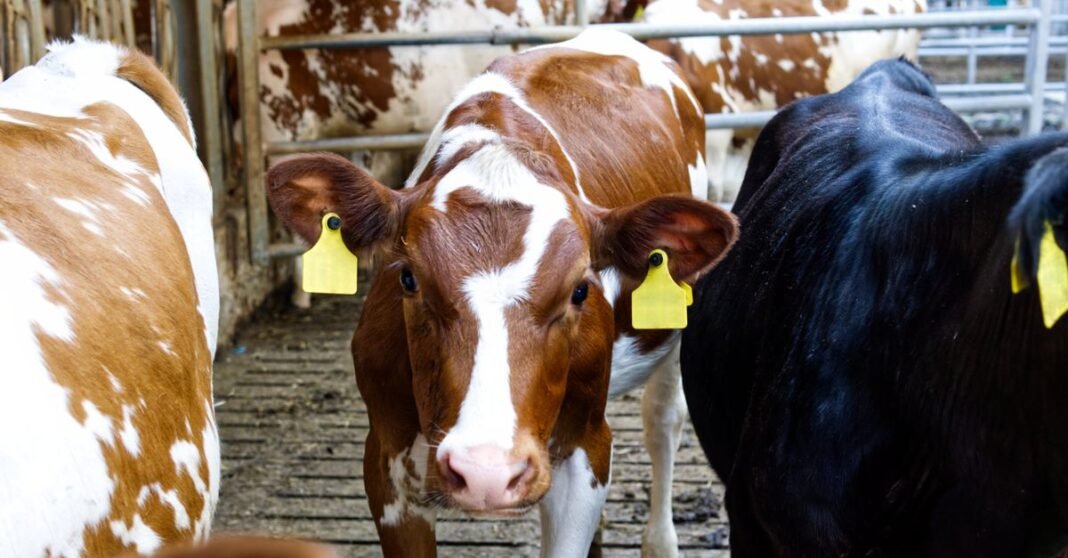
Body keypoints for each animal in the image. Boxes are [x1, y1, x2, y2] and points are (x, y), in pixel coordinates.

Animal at [265, 28, 738, 557]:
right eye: (408, 278)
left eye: (580, 290)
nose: (485, 472)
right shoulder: (386, 459)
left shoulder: (584, 448)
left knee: (663, 422)